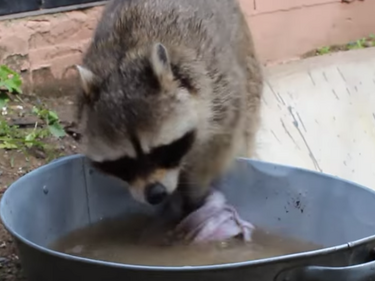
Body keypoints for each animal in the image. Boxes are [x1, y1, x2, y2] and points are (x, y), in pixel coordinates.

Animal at [75, 0, 264, 211]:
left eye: (162, 150)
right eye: (124, 163)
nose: (155, 194)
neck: (126, 54)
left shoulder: (220, 92)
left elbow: (216, 149)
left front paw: (194, 192)